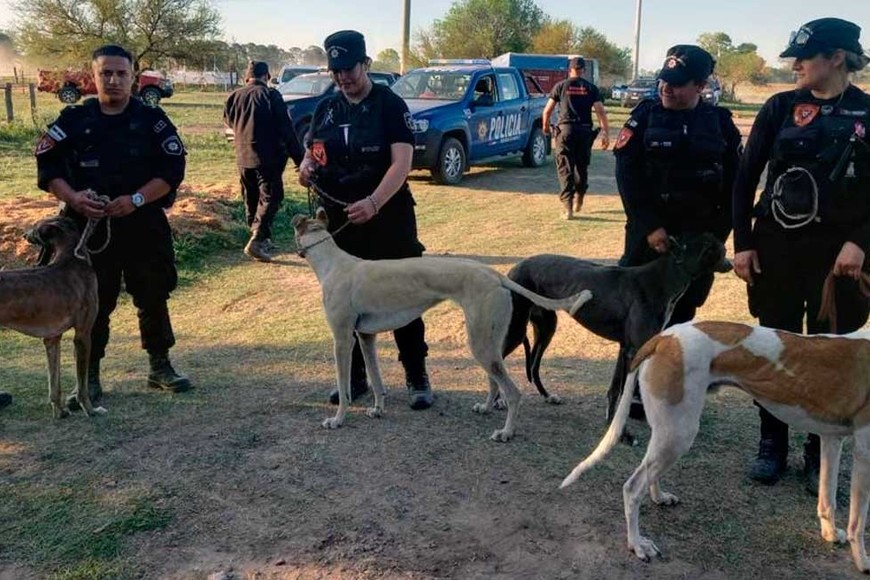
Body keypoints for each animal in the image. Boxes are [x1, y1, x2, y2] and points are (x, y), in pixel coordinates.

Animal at [0, 216, 105, 416]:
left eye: (35, 227)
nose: (24, 235)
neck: (71, 257)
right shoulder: (83, 335)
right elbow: (82, 386)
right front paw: (90, 410)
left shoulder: (52, 338)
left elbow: (54, 383)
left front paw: (60, 412)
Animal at [292, 211, 592, 442]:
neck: (333, 263)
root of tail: (494, 274)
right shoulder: (366, 337)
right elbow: (376, 381)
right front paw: (377, 409)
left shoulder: (343, 339)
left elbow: (343, 387)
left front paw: (337, 420)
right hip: (488, 344)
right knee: (494, 382)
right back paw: (486, 407)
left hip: (481, 343)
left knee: (513, 393)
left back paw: (506, 432)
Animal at [504, 231, 728, 412]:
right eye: (721, 251)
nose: (730, 264)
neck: (664, 278)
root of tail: (514, 269)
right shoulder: (633, 350)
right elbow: (621, 394)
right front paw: (623, 433)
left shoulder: (626, 347)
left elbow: (614, 391)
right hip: (516, 331)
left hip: (547, 327)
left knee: (533, 365)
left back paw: (547, 395)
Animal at [564, 320, 870, 572]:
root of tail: (664, 337)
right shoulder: (864, 453)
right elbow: (858, 521)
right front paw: (862, 562)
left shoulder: (831, 438)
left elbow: (828, 498)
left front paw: (830, 534)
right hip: (679, 432)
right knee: (632, 487)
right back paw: (637, 544)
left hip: (668, 430)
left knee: (649, 472)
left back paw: (659, 497)